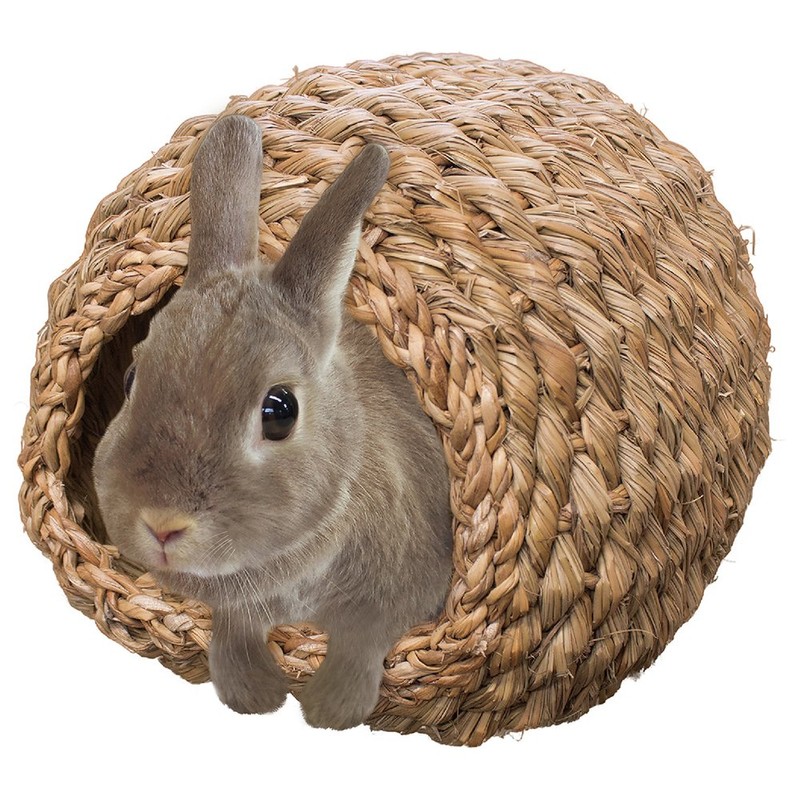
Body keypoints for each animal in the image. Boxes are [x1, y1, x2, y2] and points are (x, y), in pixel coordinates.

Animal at [92, 114, 453, 730]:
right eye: (130, 378)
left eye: (280, 410)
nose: (162, 525)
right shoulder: (235, 606)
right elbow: (235, 627)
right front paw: (253, 693)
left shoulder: (408, 582)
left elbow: (366, 635)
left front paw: (331, 708)